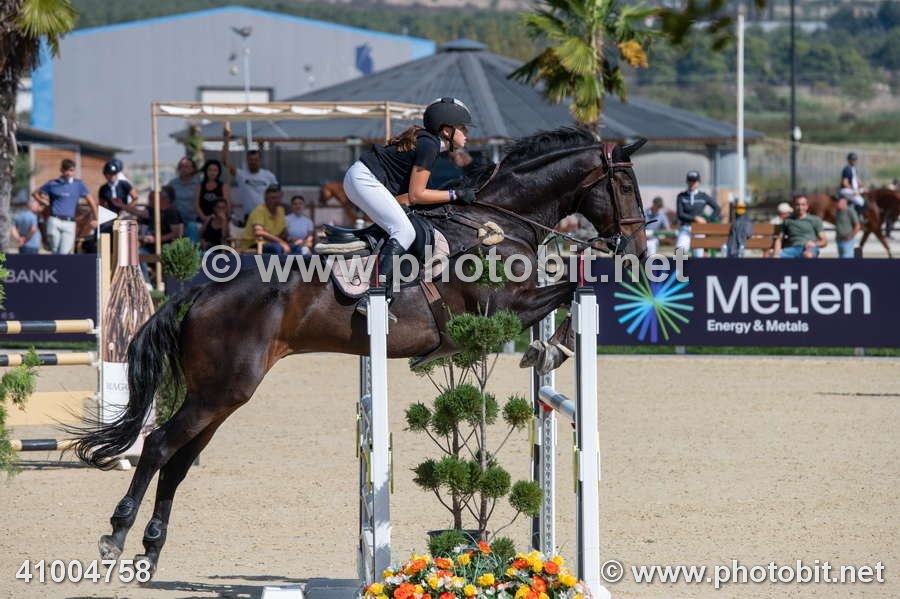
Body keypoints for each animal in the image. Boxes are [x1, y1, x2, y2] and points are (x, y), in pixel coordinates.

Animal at [71, 127, 649, 578]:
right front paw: (553, 348)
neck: (499, 221)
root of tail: (201, 291)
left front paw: (548, 348)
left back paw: (151, 550)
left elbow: (569, 287)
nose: (639, 251)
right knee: (158, 446)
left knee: (178, 462)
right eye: (625, 184)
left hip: (220, 395)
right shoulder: (501, 308)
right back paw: (116, 536)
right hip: (219, 392)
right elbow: (571, 286)